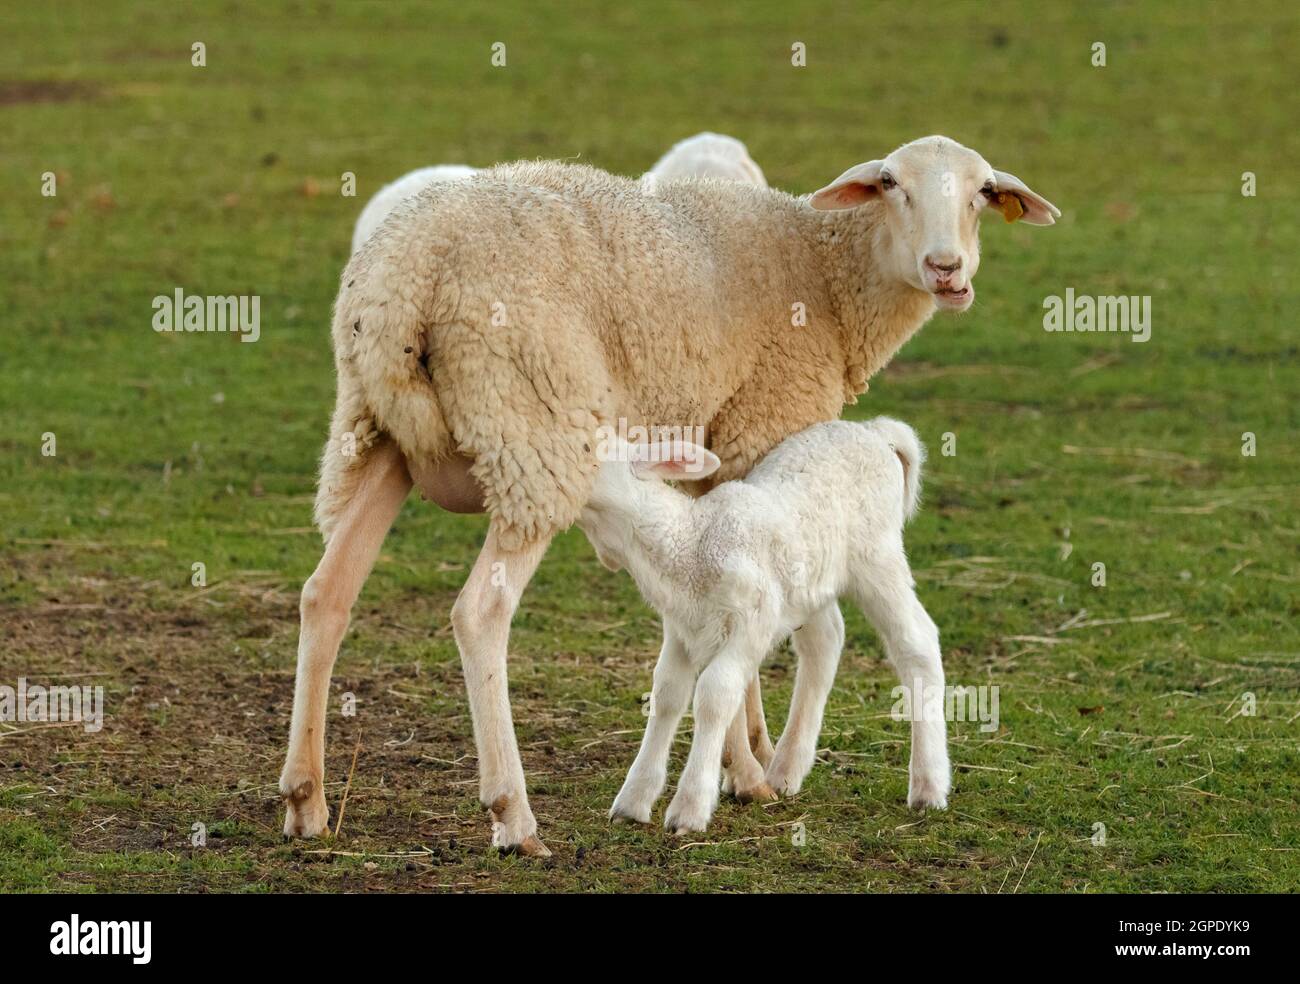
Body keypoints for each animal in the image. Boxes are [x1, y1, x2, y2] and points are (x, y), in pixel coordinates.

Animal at [579, 418, 944, 833]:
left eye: (588, 449)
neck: (691, 543)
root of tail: (876, 432)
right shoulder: (682, 630)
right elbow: (667, 693)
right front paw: (633, 800)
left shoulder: (752, 621)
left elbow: (714, 694)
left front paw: (689, 808)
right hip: (811, 580)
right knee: (826, 641)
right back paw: (786, 769)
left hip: (877, 555)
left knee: (917, 641)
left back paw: (928, 787)